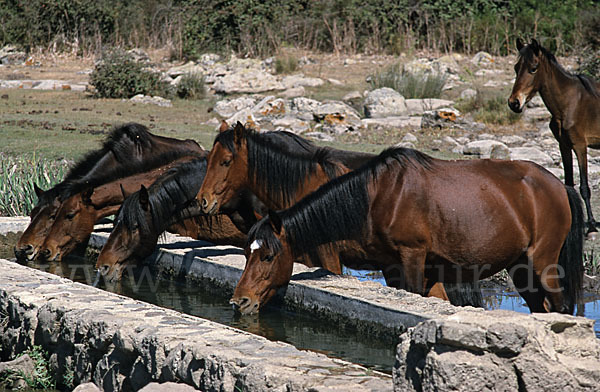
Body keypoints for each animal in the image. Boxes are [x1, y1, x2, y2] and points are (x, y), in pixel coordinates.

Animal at [232, 147, 584, 316]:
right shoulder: (391, 267)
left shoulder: (412, 258)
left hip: (543, 263)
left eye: (268, 256)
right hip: (520, 267)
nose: (240, 301)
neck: (378, 197)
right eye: (247, 253)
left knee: (559, 307)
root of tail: (559, 185)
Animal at [506, 37, 600, 233]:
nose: (514, 103)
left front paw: (591, 225)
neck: (568, 103)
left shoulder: (580, 146)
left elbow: (584, 187)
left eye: (533, 68)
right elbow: (569, 184)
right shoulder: (564, 146)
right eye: (516, 67)